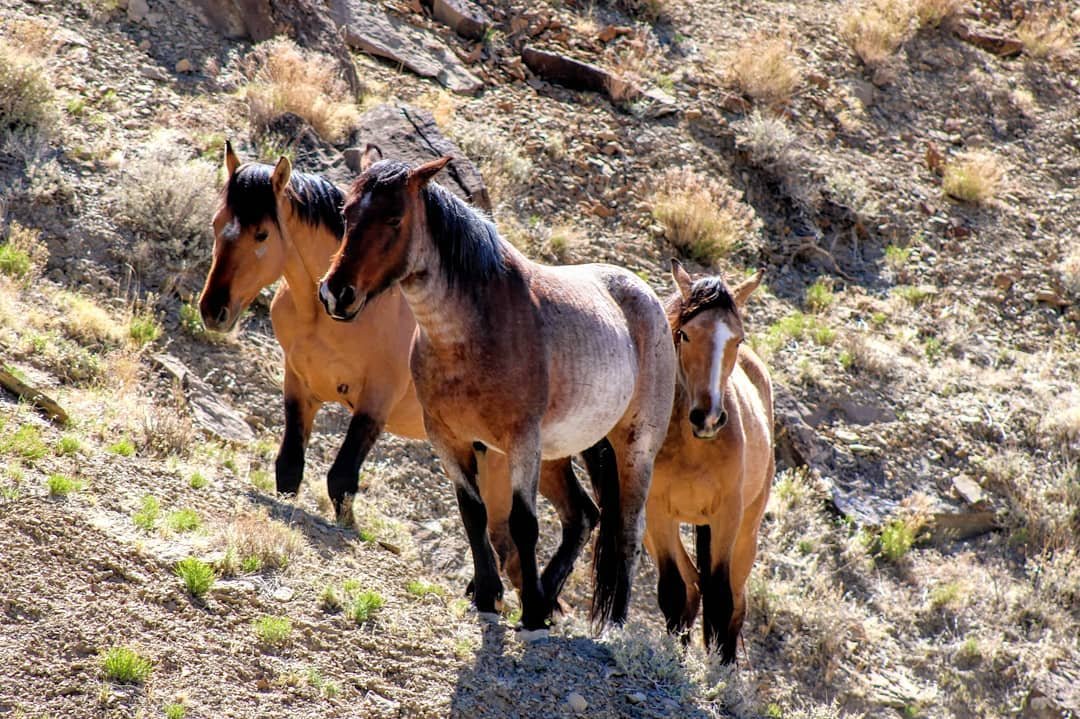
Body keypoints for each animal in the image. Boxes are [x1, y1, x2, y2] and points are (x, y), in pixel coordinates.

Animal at [197, 142, 596, 600]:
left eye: (262, 234)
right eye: (217, 224)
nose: (213, 310)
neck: (326, 316)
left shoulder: (377, 400)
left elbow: (341, 479)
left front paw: (351, 529)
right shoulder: (299, 385)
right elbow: (289, 468)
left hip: (539, 452)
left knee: (578, 517)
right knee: (521, 530)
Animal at [317, 147, 673, 630]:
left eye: (394, 218)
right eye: (346, 212)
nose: (336, 293)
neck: (469, 333)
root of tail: (646, 297)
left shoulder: (521, 440)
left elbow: (523, 523)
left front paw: (532, 612)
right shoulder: (449, 438)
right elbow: (474, 513)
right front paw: (491, 594)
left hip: (635, 449)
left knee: (628, 534)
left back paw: (610, 623)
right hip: (558, 452)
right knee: (582, 516)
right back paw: (549, 593)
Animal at [643, 258, 773, 660]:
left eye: (737, 339)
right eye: (685, 335)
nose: (709, 418)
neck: (694, 448)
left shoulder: (726, 516)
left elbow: (721, 598)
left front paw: (718, 667)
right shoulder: (657, 513)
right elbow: (674, 590)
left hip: (748, 530)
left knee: (736, 600)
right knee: (690, 586)